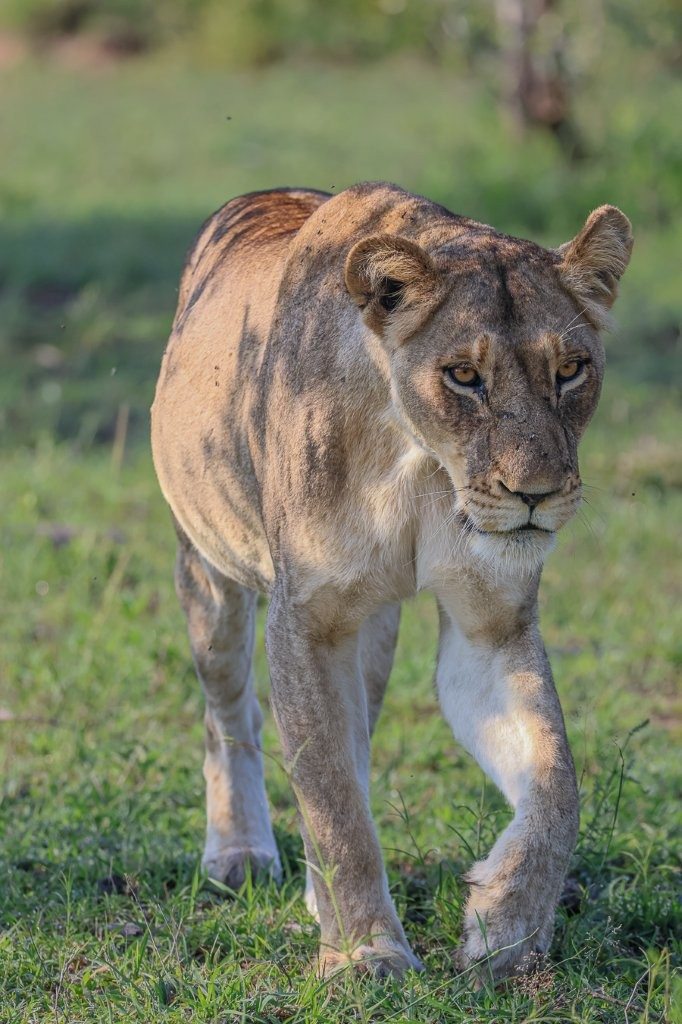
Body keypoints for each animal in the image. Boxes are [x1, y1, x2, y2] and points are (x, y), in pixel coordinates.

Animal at [151, 182, 632, 982]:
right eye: (464, 376)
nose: (534, 495)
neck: (416, 459)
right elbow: (332, 802)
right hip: (209, 569)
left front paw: (507, 923)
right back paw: (240, 853)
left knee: (354, 740)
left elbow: (557, 781)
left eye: (571, 369)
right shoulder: (306, 621)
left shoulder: (491, 624)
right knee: (232, 717)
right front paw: (364, 955)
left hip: (372, 631)